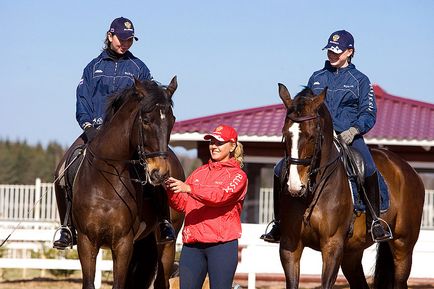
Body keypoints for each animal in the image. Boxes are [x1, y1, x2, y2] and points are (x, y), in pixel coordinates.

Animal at [55, 77, 182, 288]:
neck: (107, 183)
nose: (160, 173)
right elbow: (89, 283)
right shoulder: (86, 241)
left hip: (166, 244)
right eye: (146, 121)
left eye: (172, 121)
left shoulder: (123, 243)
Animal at [278, 82, 424, 286]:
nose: (295, 186)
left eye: (311, 136)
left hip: (403, 248)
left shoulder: (332, 246)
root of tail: (408, 169)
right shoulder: (290, 246)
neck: (313, 192)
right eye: (285, 134)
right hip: (352, 254)